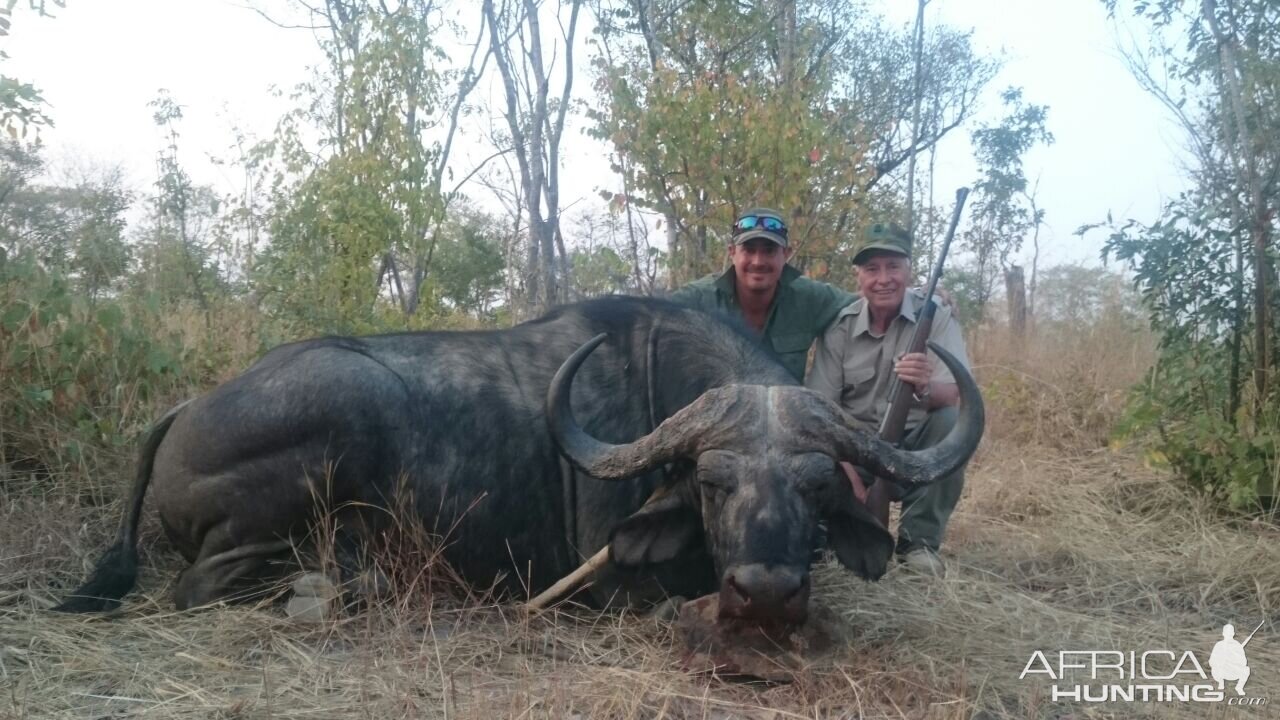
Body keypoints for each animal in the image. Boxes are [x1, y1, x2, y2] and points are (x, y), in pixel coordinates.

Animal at [55, 294, 983, 620]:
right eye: (713, 481)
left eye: (818, 485)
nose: (764, 590)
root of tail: (188, 408)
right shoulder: (610, 585)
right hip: (336, 423)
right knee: (203, 587)